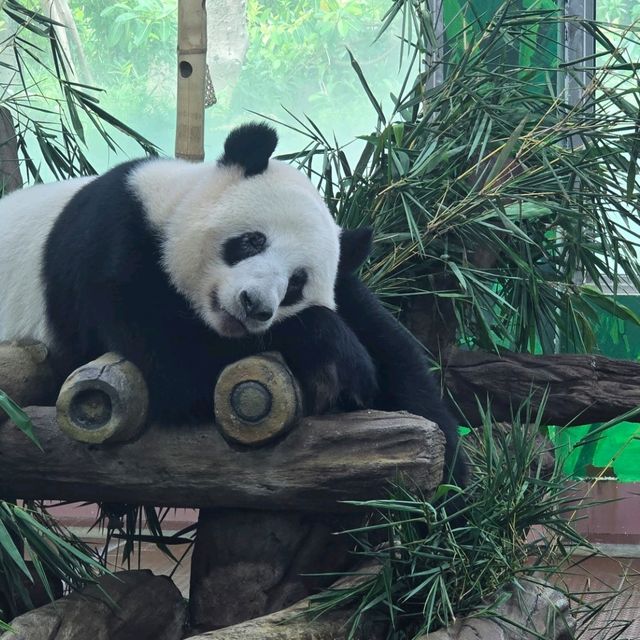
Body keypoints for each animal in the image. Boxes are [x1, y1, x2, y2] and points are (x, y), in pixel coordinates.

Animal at [2, 122, 468, 482]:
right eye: (252, 241)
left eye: (296, 284)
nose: (255, 305)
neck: (168, 209)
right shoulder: (111, 244)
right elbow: (172, 360)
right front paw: (339, 358)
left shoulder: (346, 285)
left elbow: (399, 356)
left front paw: (450, 488)